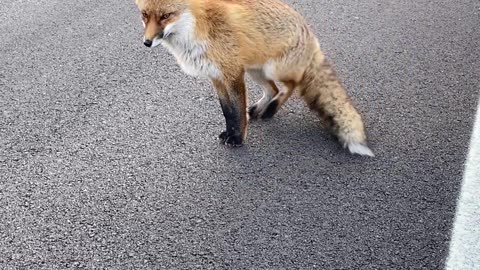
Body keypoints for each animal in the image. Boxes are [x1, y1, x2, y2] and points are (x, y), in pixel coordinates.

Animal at [134, 0, 376, 156]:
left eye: (166, 16)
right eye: (145, 15)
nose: (147, 42)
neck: (196, 30)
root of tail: (311, 34)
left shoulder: (233, 74)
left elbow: (237, 112)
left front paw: (238, 139)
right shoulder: (216, 77)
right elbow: (228, 112)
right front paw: (231, 133)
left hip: (272, 69)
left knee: (291, 85)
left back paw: (270, 110)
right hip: (254, 71)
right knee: (273, 89)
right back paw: (260, 109)